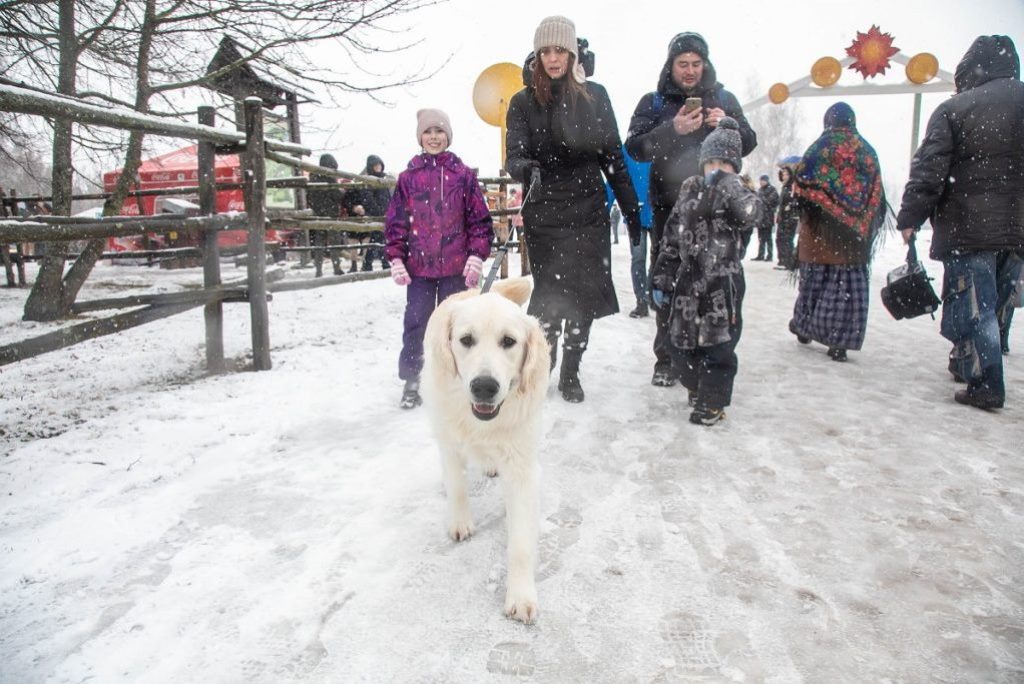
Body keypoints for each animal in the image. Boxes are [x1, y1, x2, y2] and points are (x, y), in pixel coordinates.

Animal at [421, 278, 552, 626]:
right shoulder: (451, 443)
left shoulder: (522, 468)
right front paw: (460, 522)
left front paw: (521, 596)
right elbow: (457, 487)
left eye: (509, 341)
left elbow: (521, 544)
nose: (484, 387)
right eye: (466, 340)